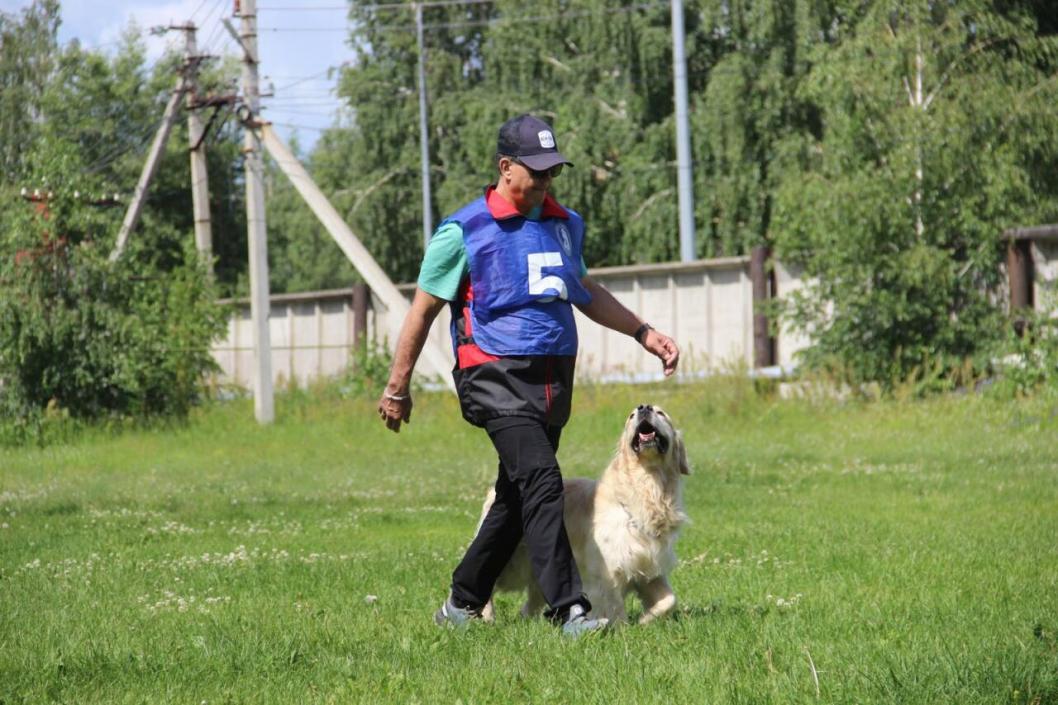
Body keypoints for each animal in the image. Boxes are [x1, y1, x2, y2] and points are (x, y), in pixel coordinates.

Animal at [482, 404, 694, 622]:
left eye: (661, 413)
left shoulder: (649, 567)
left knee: (531, 602)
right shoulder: (607, 573)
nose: (644, 408)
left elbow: (669, 600)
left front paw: (646, 619)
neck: (648, 483)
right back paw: (485, 616)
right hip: (513, 564)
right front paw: (623, 627)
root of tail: (495, 493)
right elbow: (616, 609)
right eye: (631, 416)